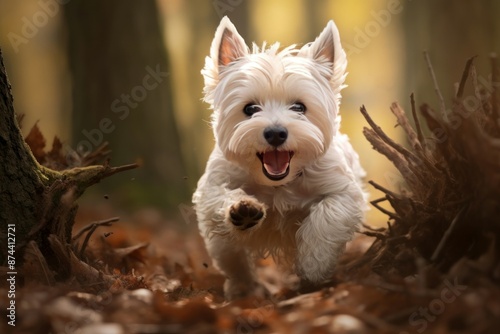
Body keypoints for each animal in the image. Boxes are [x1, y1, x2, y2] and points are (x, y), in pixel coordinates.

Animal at [191, 16, 368, 300]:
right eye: (250, 108)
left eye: (299, 107)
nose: (275, 133)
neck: (279, 184)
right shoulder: (213, 186)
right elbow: (222, 197)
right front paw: (243, 209)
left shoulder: (344, 191)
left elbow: (328, 216)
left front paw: (313, 266)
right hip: (221, 243)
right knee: (233, 259)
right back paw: (243, 287)